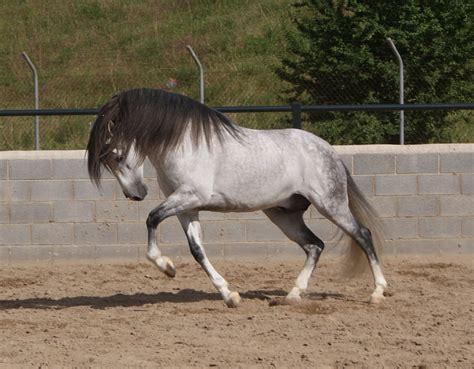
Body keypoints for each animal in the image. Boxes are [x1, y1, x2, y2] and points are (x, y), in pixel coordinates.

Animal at [87, 87, 386, 306]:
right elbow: (197, 250)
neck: (183, 143)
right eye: (109, 161)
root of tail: (329, 150)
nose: (136, 194)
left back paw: (377, 292)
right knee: (315, 246)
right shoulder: (187, 208)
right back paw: (293, 294)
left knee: (362, 235)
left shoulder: (190, 197)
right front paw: (229, 295)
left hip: (330, 205)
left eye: (117, 155)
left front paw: (167, 266)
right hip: (284, 215)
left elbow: (151, 218)